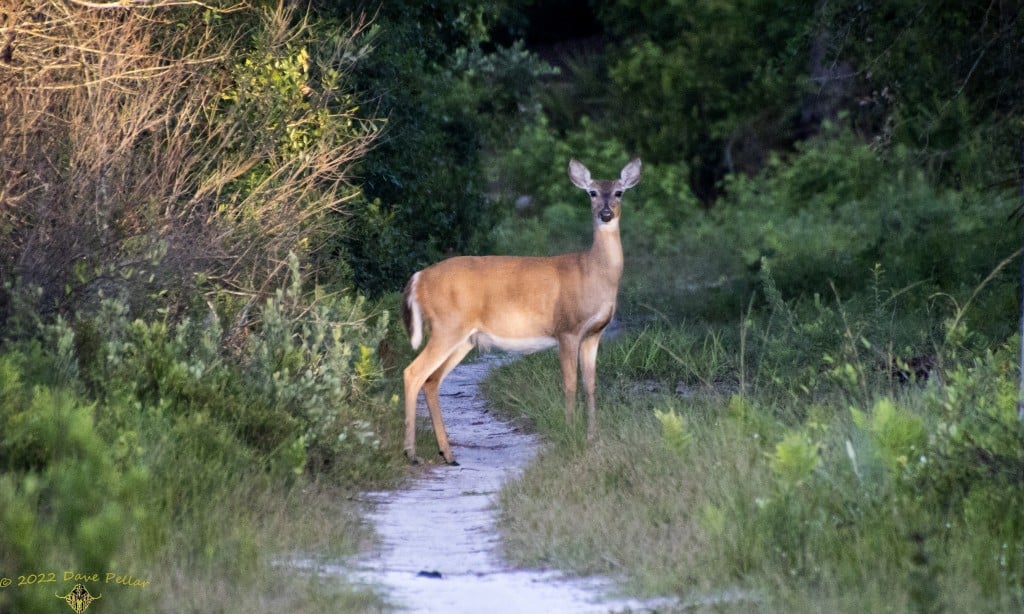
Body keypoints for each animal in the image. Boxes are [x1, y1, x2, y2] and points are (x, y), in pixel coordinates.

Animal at [400, 158, 642, 465]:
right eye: (592, 193)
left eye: (619, 192)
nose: (606, 213)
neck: (594, 273)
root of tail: (418, 278)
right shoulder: (567, 329)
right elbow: (570, 383)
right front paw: (570, 432)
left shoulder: (593, 334)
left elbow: (591, 385)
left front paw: (592, 439)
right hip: (447, 326)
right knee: (413, 372)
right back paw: (411, 454)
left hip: (463, 337)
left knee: (431, 380)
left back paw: (448, 453)